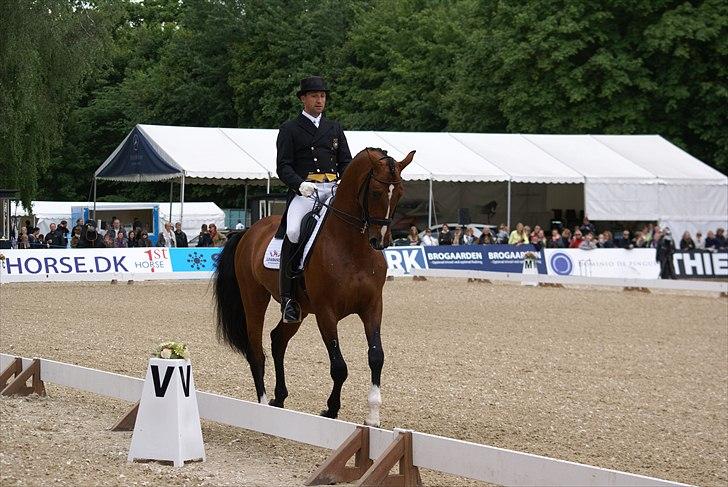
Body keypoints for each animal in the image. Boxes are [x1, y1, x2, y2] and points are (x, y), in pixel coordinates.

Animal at [213, 147, 412, 426]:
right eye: (375, 192)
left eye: (400, 193)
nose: (379, 241)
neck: (352, 247)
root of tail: (249, 232)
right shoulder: (326, 313)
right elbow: (339, 367)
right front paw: (331, 410)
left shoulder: (372, 307)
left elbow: (376, 357)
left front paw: (373, 416)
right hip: (254, 298)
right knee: (256, 351)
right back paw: (262, 406)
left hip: (299, 310)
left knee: (277, 340)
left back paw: (279, 398)